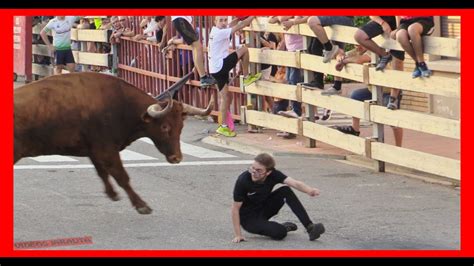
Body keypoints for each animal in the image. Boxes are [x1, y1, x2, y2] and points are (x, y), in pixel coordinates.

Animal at [13, 72, 213, 214]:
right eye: (165, 126)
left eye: (181, 126)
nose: (176, 158)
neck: (122, 104)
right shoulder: (107, 150)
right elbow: (122, 176)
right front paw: (142, 205)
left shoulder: (95, 151)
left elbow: (103, 173)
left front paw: (112, 194)